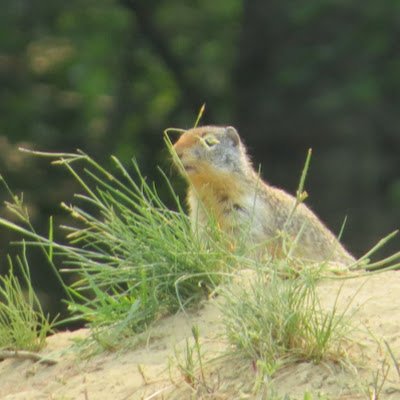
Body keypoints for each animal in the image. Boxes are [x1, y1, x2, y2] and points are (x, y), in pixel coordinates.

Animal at [173, 123, 354, 264]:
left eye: (209, 141)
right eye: (181, 135)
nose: (175, 150)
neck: (208, 192)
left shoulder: (245, 220)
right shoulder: (201, 220)